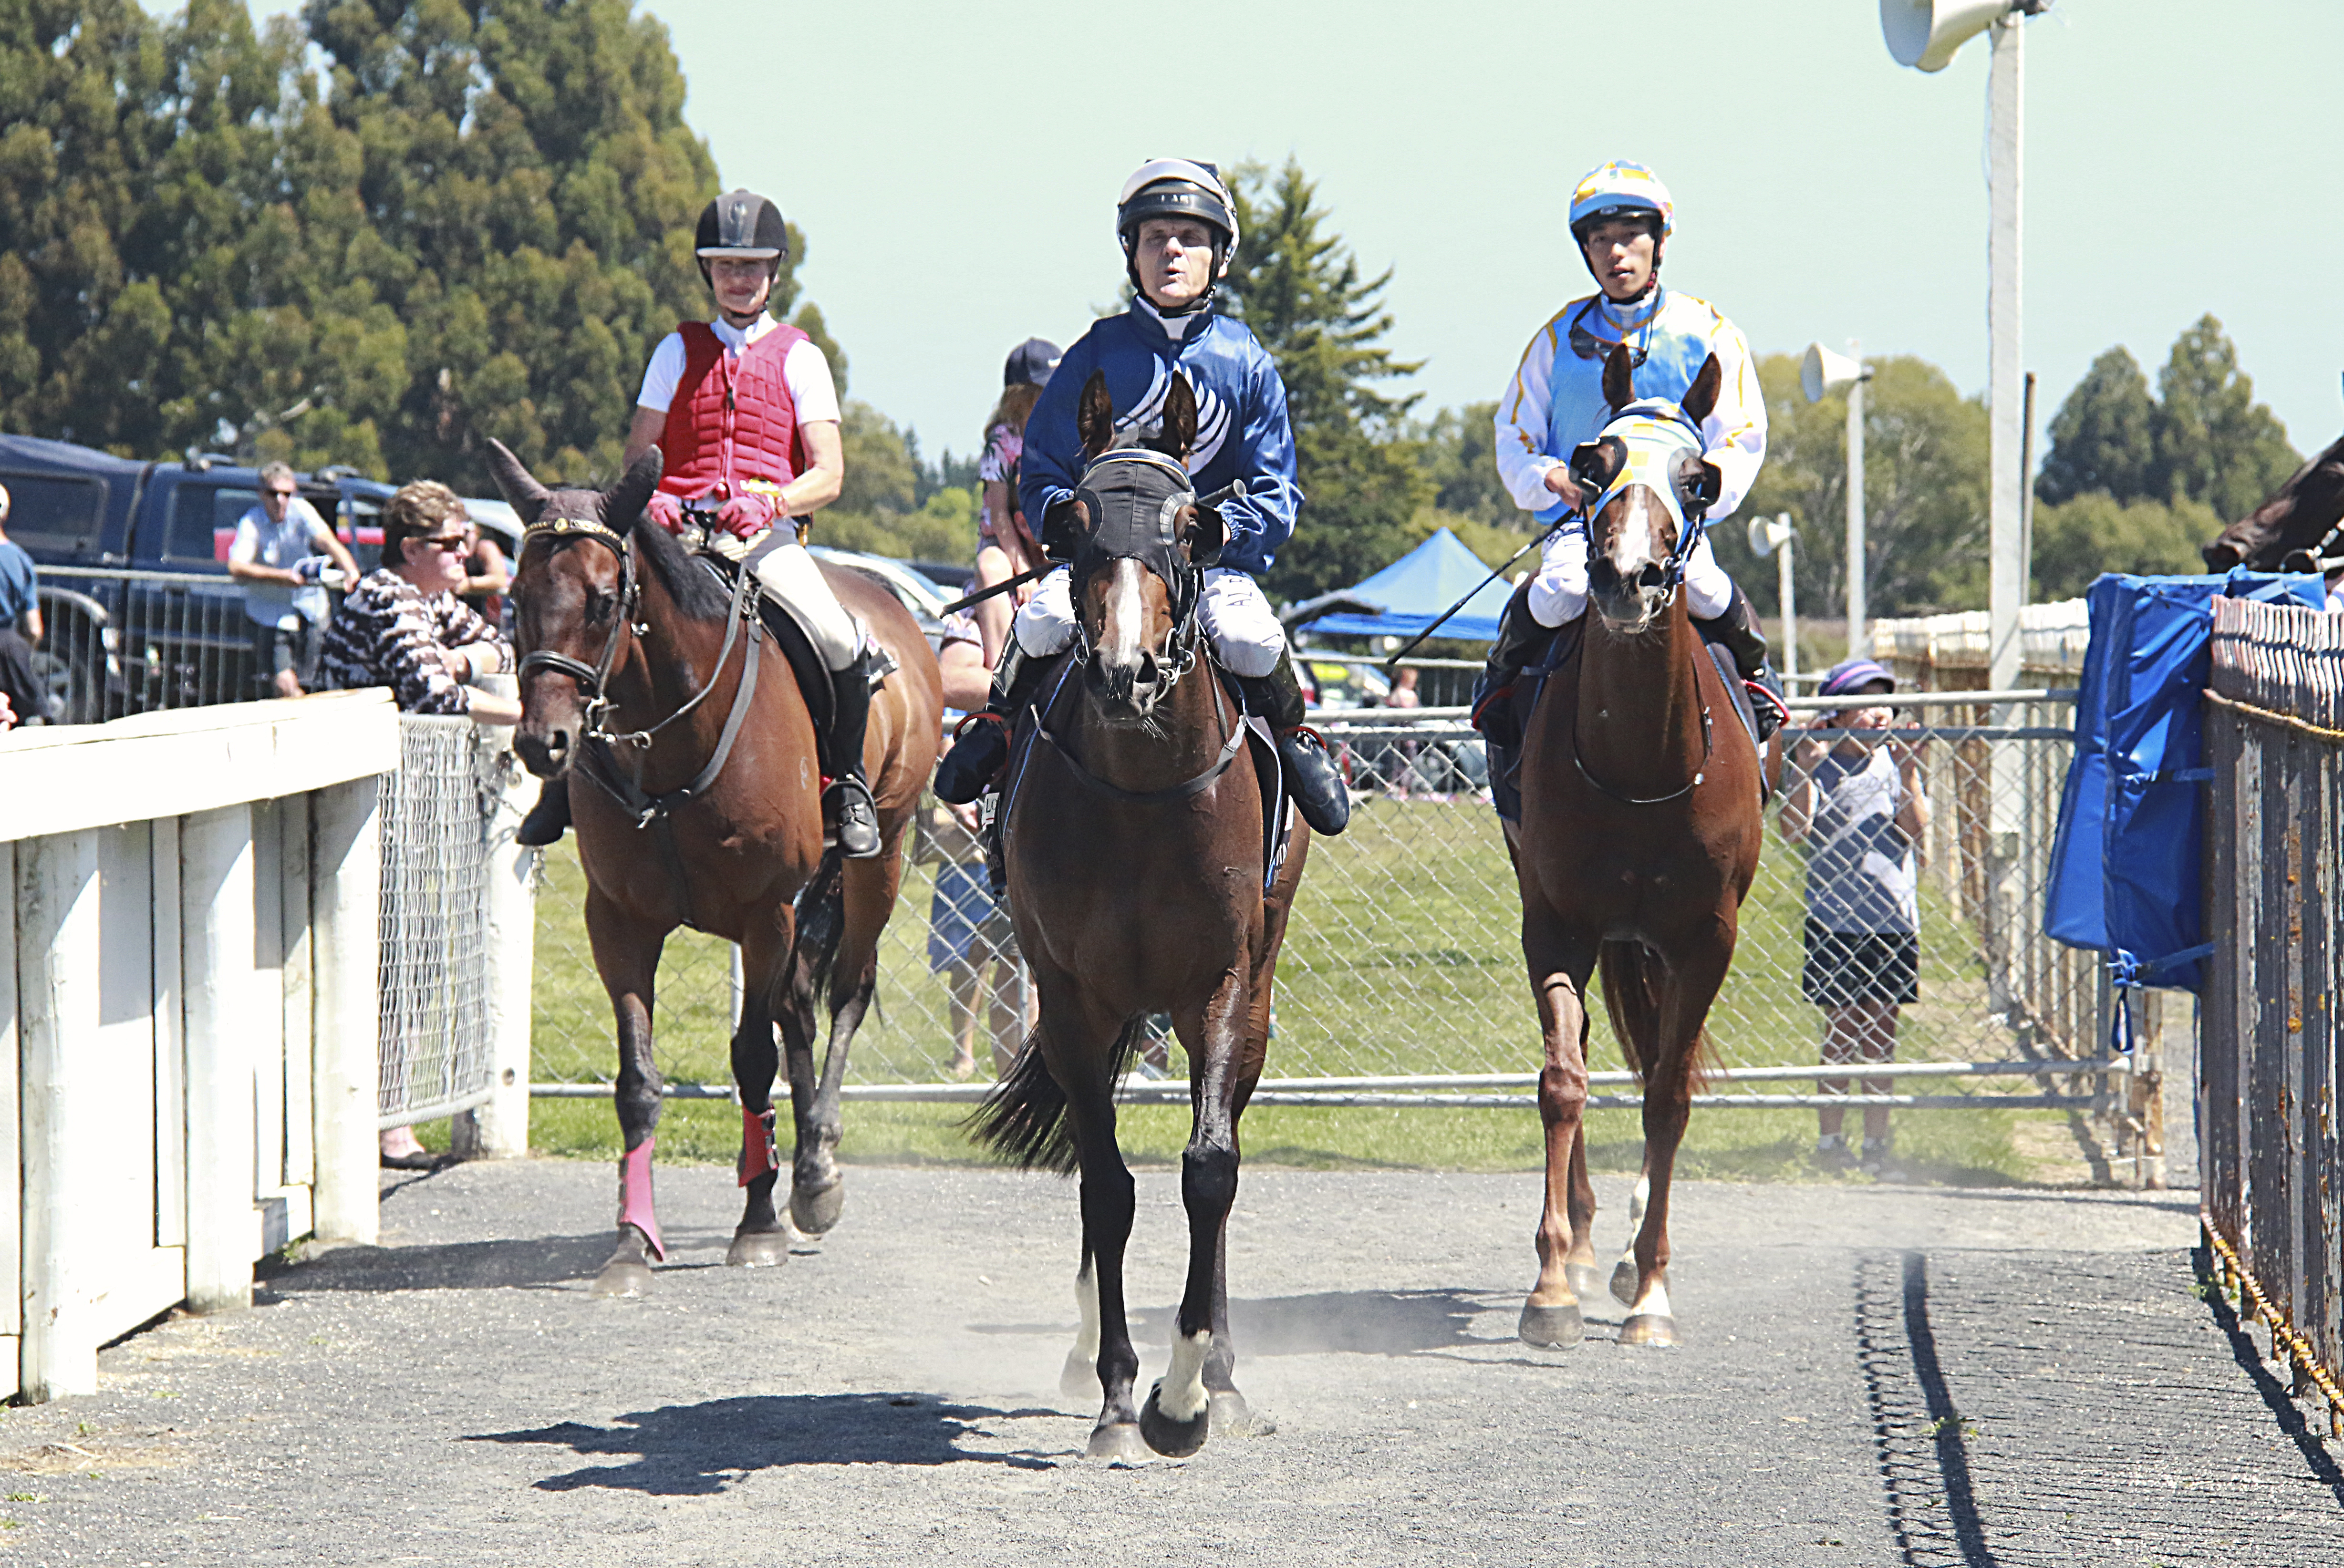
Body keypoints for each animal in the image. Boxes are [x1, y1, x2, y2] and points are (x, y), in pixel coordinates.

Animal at [492, 440, 942, 1293]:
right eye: (514, 597)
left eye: (604, 601)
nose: (543, 743)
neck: (669, 740)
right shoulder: (619, 922)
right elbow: (638, 1082)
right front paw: (632, 1243)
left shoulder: (764, 915)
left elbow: (753, 1058)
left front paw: (758, 1224)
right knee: (799, 1007)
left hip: (881, 863)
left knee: (844, 994)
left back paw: (817, 1169)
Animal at [961, 372, 1312, 1462]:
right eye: (1071, 523)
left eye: (1193, 527)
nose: (1127, 671)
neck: (1145, 798)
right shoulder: (1073, 995)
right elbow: (1107, 1185)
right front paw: (1121, 1394)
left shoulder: (1222, 985)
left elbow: (1209, 1169)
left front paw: (1190, 1389)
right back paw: (1086, 1354)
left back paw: (1224, 1375)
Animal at [1509, 349, 1763, 1350]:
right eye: (1590, 463)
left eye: (1698, 479)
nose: (1627, 577)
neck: (1638, 764)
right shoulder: (1555, 923)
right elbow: (1561, 1080)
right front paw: (1549, 1281)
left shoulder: (1704, 936)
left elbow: (1666, 1094)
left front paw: (1650, 1286)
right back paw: (1584, 1245)